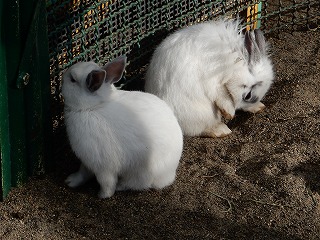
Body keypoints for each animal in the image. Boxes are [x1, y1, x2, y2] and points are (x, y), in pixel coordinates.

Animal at [62, 56, 182, 199]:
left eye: (72, 79)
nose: (62, 78)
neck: (92, 107)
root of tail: (170, 174)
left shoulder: (102, 166)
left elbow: (106, 183)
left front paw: (102, 195)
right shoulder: (87, 160)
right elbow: (83, 172)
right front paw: (70, 181)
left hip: (141, 171)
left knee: (138, 183)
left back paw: (120, 186)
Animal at [146, 18, 274, 137]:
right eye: (248, 95)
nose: (239, 107)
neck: (235, 63)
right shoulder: (214, 81)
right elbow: (222, 96)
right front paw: (230, 113)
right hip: (201, 114)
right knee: (199, 129)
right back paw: (221, 130)